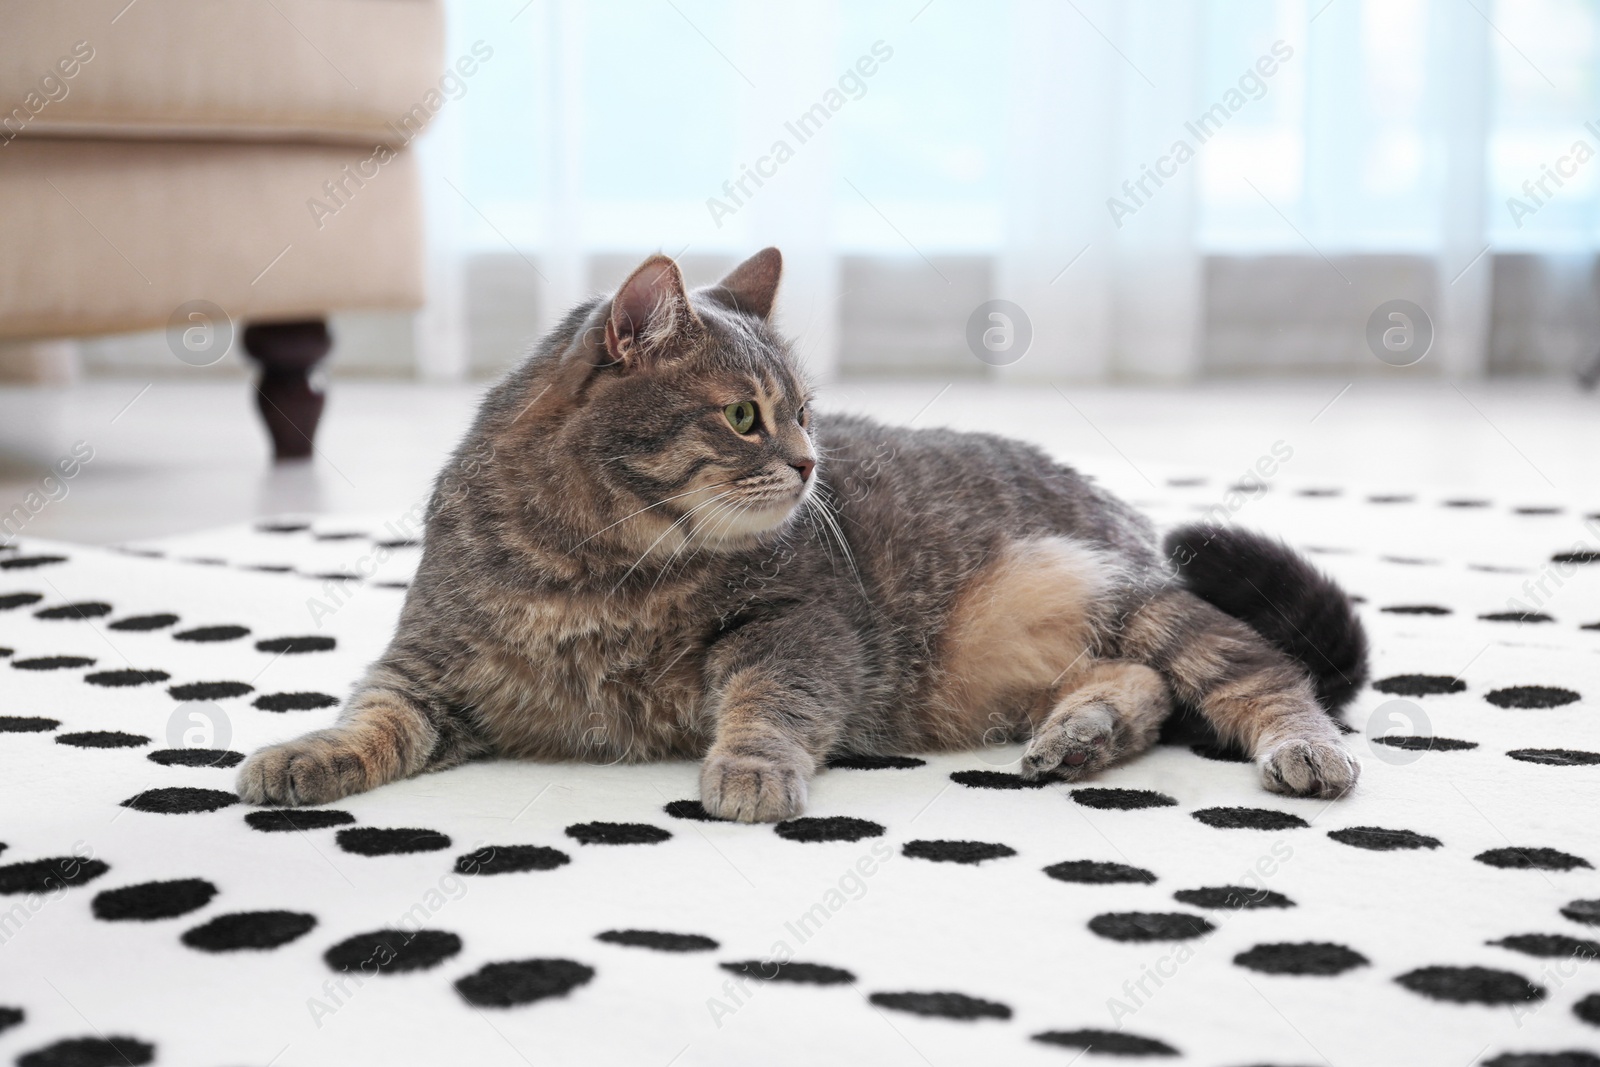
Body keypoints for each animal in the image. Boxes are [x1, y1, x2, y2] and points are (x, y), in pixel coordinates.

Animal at [236, 247, 1363, 819]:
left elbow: (770, 702)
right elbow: (371, 712)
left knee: (1259, 675)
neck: (593, 570)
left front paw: (748, 767)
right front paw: (305, 753)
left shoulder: (798, 628)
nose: (812, 461)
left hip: (1117, 589)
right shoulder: (427, 661)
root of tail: (1122, 513)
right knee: (1143, 687)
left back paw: (1300, 751)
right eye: (745, 415)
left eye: (806, 411)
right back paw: (1079, 734)